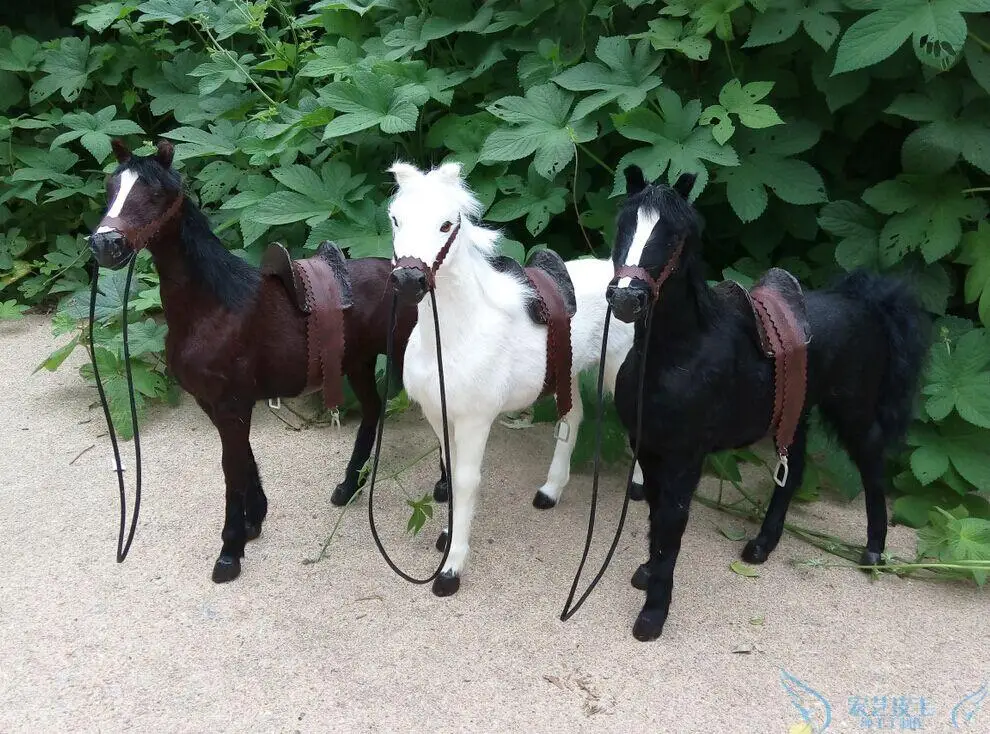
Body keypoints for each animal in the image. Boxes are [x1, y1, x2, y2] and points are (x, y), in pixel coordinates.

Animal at [87, 138, 426, 583]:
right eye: (111, 187)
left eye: (155, 194)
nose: (104, 244)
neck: (213, 308)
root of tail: (412, 279)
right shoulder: (216, 403)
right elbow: (243, 458)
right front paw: (253, 523)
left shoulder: (232, 404)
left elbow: (230, 467)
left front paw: (229, 552)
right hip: (357, 363)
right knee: (372, 411)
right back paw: (348, 487)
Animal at [385, 160, 640, 597]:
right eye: (395, 219)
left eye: (446, 225)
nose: (407, 281)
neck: (455, 335)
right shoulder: (439, 415)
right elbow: (450, 473)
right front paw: (447, 538)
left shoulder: (475, 421)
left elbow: (465, 482)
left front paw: (451, 568)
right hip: (567, 373)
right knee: (572, 419)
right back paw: (550, 491)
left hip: (620, 374)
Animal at [605, 165, 929, 641]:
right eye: (623, 226)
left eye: (674, 235)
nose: (627, 298)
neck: (678, 355)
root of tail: (864, 303)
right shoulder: (648, 446)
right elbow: (657, 514)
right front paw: (647, 573)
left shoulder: (685, 456)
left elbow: (671, 522)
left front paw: (652, 616)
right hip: (796, 415)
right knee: (792, 475)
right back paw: (762, 545)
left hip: (853, 413)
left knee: (872, 467)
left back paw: (873, 552)